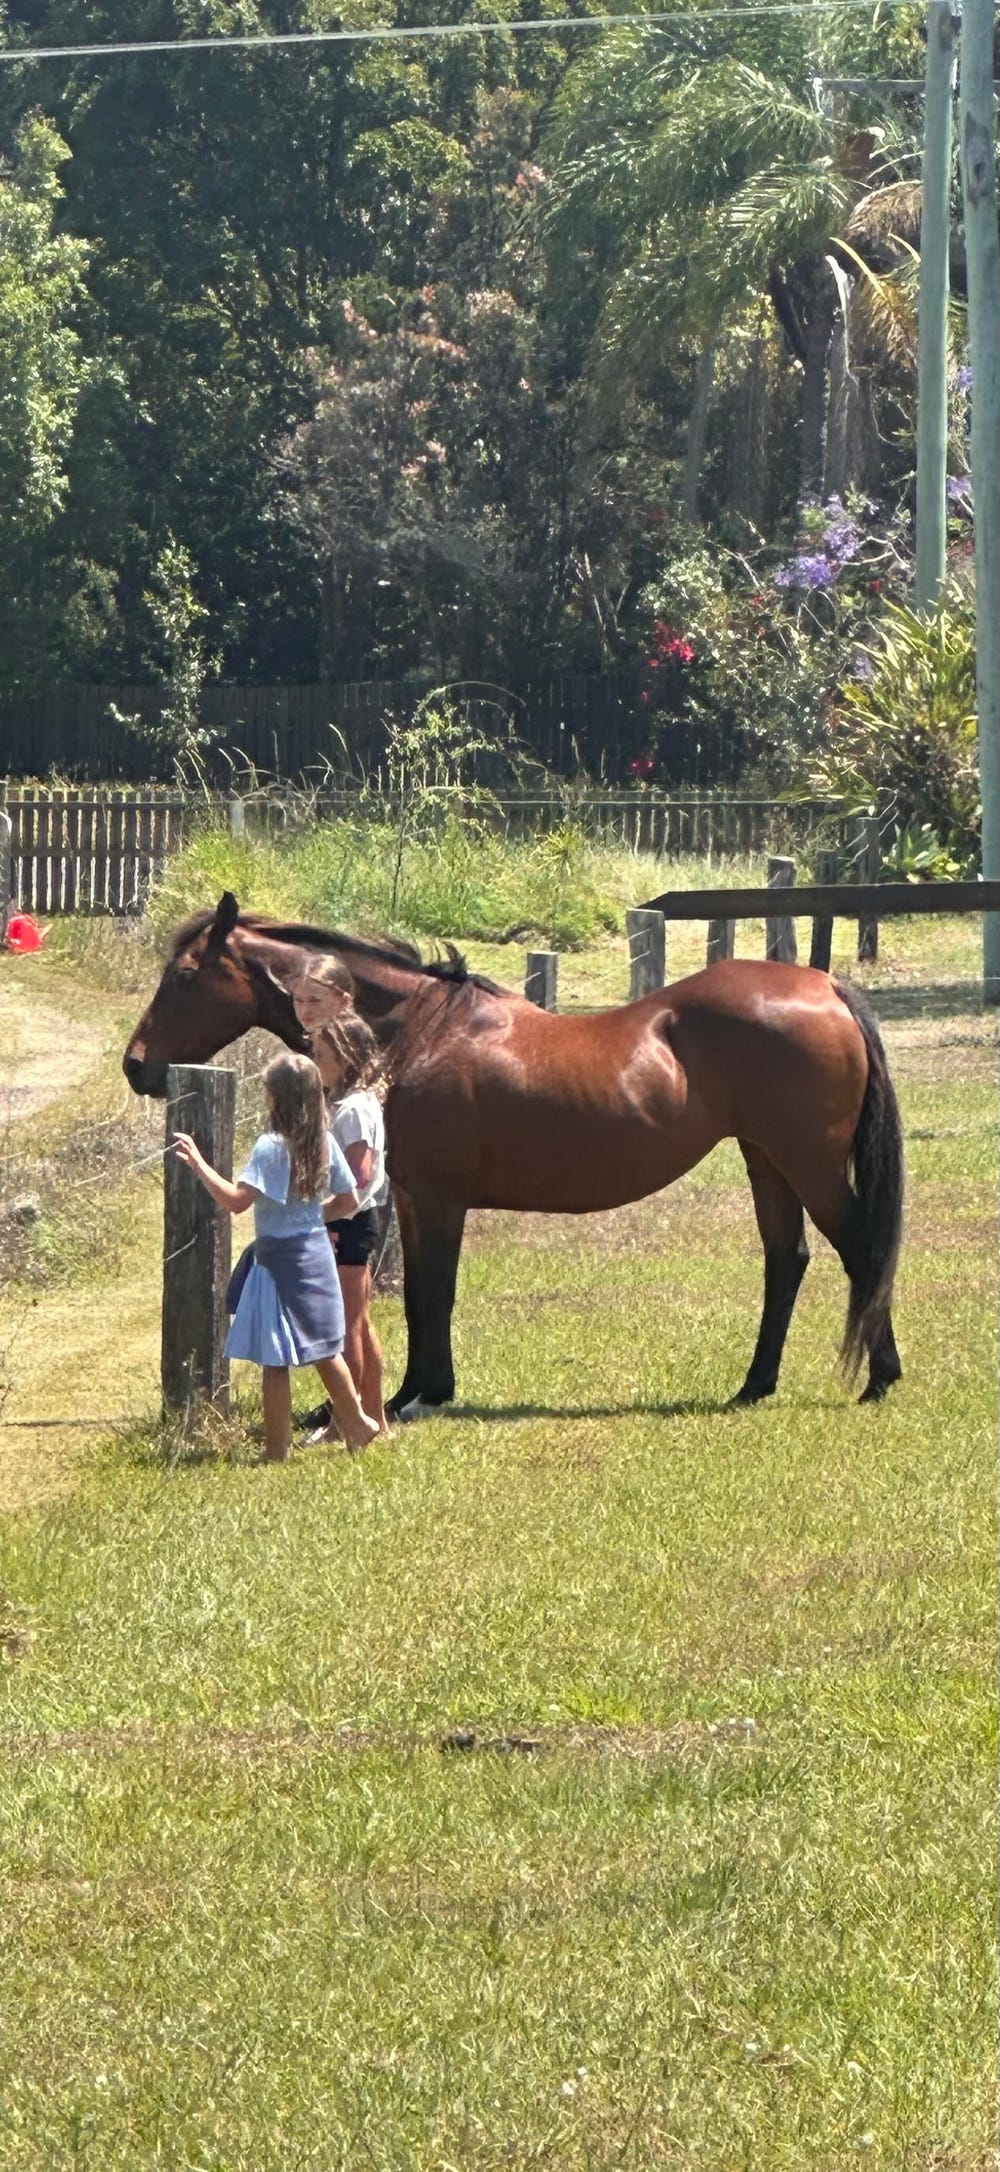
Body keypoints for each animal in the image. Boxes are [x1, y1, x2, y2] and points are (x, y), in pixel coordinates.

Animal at [123, 890, 904, 1415]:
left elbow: (435, 1292)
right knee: (787, 1260)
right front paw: (412, 1391)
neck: (419, 1032)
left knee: (862, 1250)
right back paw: (753, 1385)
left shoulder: (439, 1197)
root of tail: (825, 985)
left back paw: (879, 1379)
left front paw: (422, 1396)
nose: (137, 1067)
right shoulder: (414, 1198)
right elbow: (423, 1295)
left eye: (184, 975)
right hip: (766, 1160)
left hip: (808, 1164)